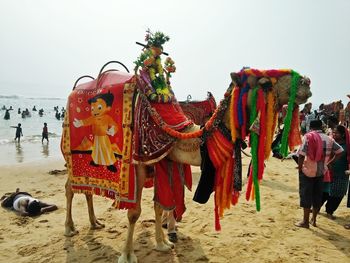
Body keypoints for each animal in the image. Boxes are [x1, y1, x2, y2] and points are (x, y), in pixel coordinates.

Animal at [60, 29, 312, 262]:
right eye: (264, 82)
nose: (306, 83)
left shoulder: (164, 160)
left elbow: (160, 204)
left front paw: (162, 244)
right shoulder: (139, 162)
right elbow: (135, 212)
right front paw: (127, 255)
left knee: (85, 189)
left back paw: (94, 222)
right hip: (70, 155)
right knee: (69, 187)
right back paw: (70, 228)